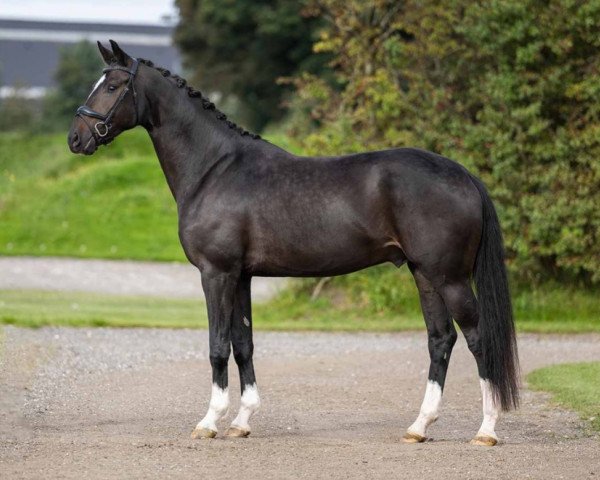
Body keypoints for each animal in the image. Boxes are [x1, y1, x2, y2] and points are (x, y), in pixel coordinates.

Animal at [68, 41, 516, 446]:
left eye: (112, 86)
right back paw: (419, 427)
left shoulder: (217, 273)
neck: (214, 169)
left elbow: (217, 346)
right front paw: (241, 421)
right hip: (424, 274)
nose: (76, 138)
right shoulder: (241, 276)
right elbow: (243, 344)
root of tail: (463, 174)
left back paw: (486, 430)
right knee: (441, 340)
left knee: (478, 339)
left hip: (450, 277)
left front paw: (210, 422)